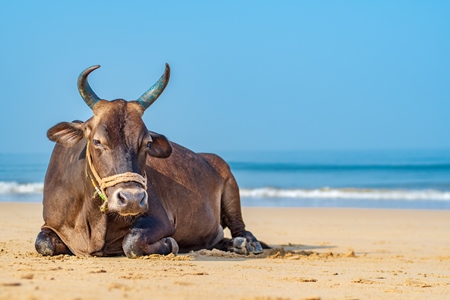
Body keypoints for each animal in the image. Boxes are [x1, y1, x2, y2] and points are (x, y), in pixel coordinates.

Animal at [35, 63, 264, 258]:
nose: (132, 198)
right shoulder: (50, 225)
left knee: (240, 227)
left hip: (230, 186)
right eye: (97, 141)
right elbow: (43, 244)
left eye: (147, 142)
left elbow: (132, 242)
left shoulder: (160, 219)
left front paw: (169, 244)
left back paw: (246, 243)